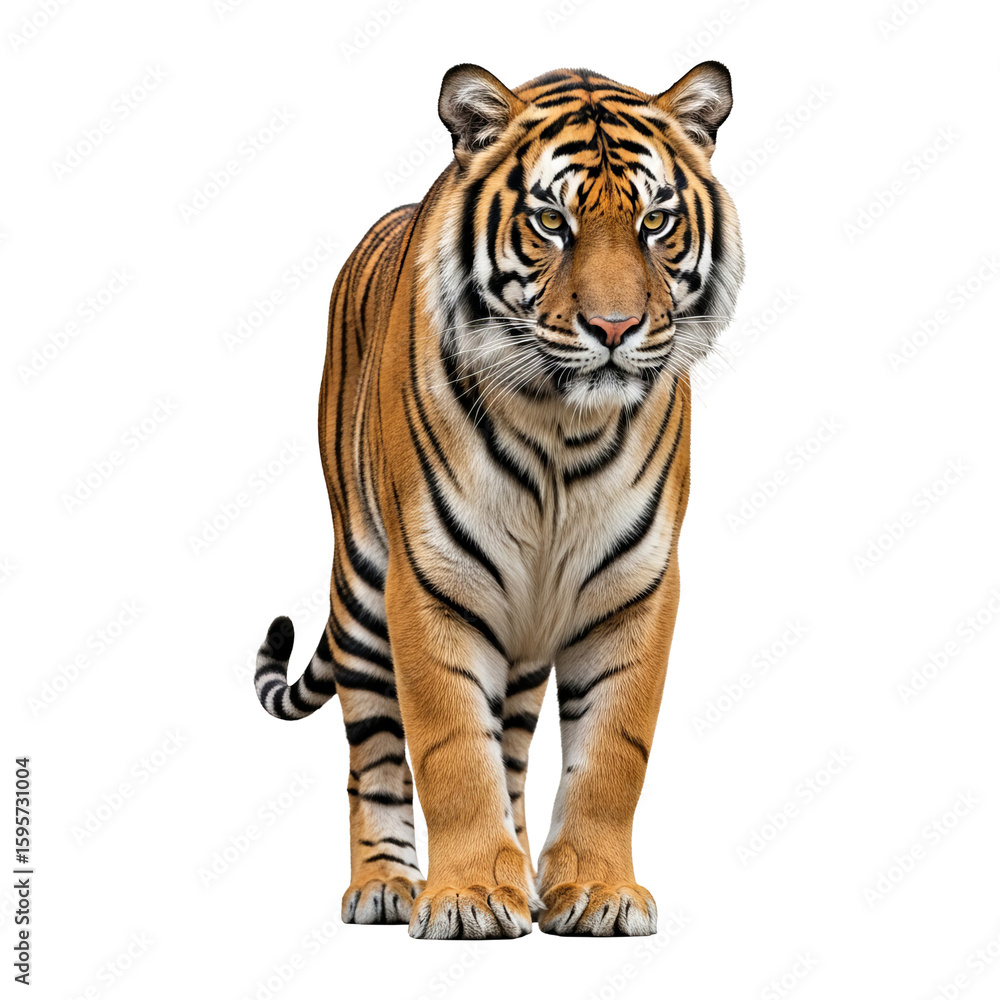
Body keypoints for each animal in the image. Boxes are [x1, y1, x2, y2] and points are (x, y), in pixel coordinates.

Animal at [253, 60, 743, 939]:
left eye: (655, 221)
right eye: (551, 221)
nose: (613, 328)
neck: (563, 427)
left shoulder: (638, 585)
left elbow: (611, 753)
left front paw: (597, 892)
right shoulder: (429, 580)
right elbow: (451, 747)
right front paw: (469, 898)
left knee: (510, 745)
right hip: (362, 591)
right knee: (375, 751)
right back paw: (384, 887)